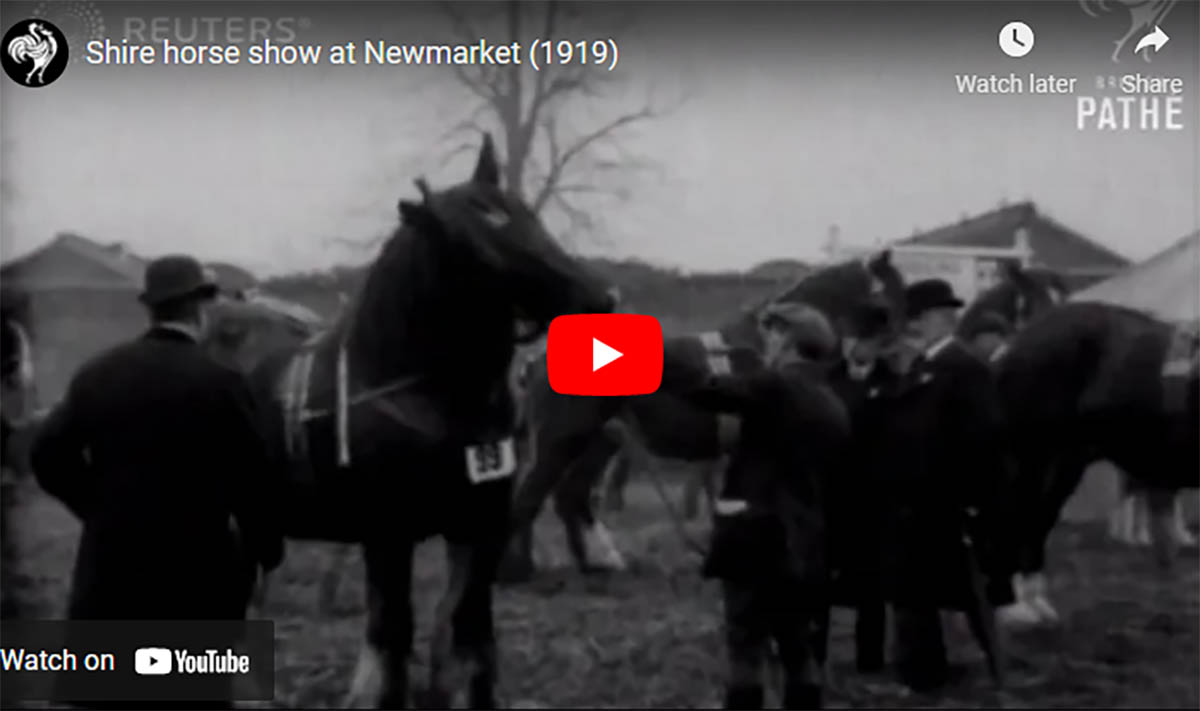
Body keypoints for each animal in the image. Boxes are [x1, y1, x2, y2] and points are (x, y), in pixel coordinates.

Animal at [248, 136, 614, 706]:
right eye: (476, 246)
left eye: (527, 215)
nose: (600, 299)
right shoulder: (386, 535)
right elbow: (393, 637)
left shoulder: (478, 527)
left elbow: (468, 638)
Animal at [501, 249, 902, 576]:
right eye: (886, 306)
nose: (895, 362)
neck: (766, 350)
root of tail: (536, 359)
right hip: (563, 438)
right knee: (532, 495)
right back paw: (520, 570)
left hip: (600, 441)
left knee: (569, 495)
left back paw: (596, 564)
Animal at [993, 300, 1200, 629]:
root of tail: (1015, 343)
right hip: (1035, 457)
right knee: (1022, 518)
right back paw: (1019, 608)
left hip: (1064, 463)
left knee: (1036, 520)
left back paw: (1036, 605)